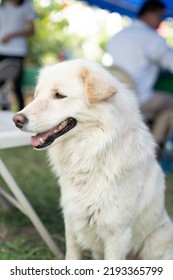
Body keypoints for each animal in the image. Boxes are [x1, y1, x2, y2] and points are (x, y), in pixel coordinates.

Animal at [12, 59, 173, 260]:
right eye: (37, 95)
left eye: (59, 95)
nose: (16, 119)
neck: (90, 152)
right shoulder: (72, 222)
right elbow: (71, 257)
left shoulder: (117, 234)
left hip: (157, 240)